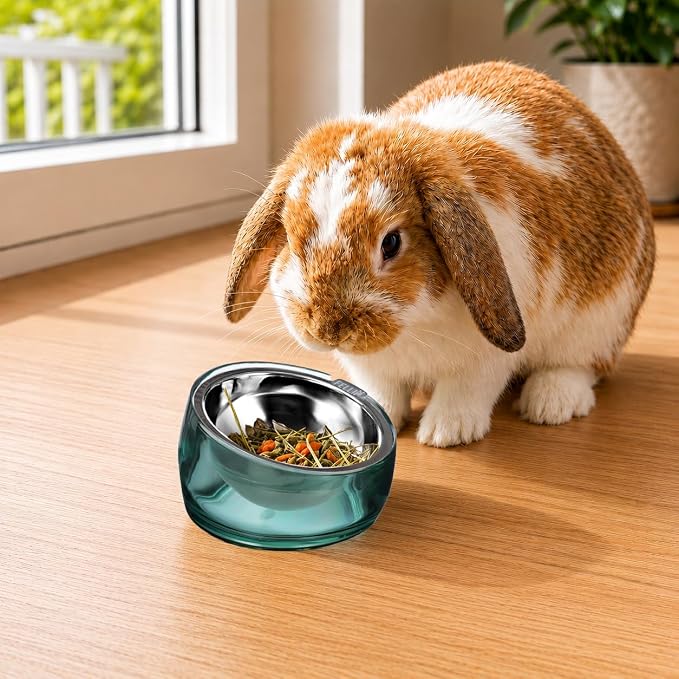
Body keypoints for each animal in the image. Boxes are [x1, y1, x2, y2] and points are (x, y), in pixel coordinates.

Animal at [223, 61, 655, 448]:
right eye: (291, 239)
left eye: (391, 243)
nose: (328, 329)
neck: (415, 321)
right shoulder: (372, 368)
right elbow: (382, 392)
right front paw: (377, 417)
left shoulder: (483, 361)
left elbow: (464, 392)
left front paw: (446, 433)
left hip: (601, 321)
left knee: (581, 365)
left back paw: (550, 403)